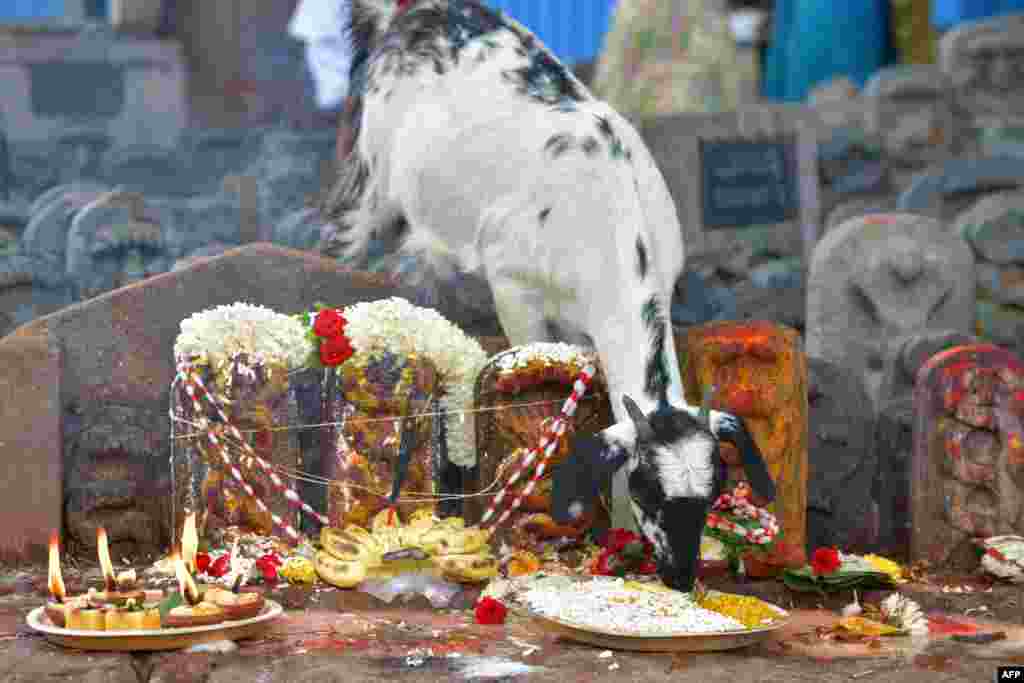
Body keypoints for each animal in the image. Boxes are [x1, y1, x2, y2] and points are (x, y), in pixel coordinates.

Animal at [327, 0, 774, 593]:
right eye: (650, 488)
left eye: (715, 489)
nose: (680, 575)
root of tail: (410, 12)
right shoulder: (513, 290)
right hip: (367, 182)